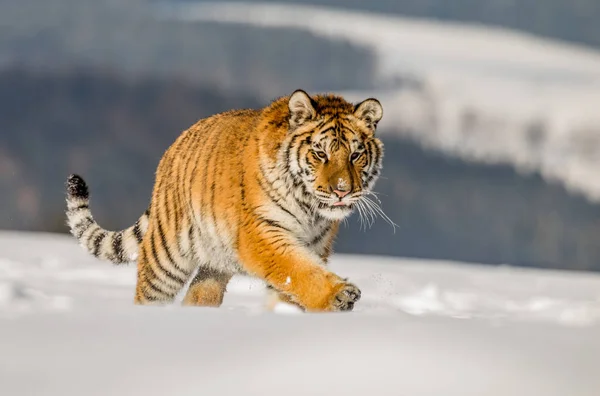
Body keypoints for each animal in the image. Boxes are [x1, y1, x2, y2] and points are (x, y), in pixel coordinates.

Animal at [65, 89, 384, 312]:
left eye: (356, 155)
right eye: (320, 154)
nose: (342, 190)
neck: (311, 210)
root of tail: (173, 146)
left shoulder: (316, 245)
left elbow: (294, 282)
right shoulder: (263, 234)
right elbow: (299, 270)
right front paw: (339, 295)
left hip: (213, 265)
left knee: (198, 296)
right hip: (165, 256)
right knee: (149, 293)